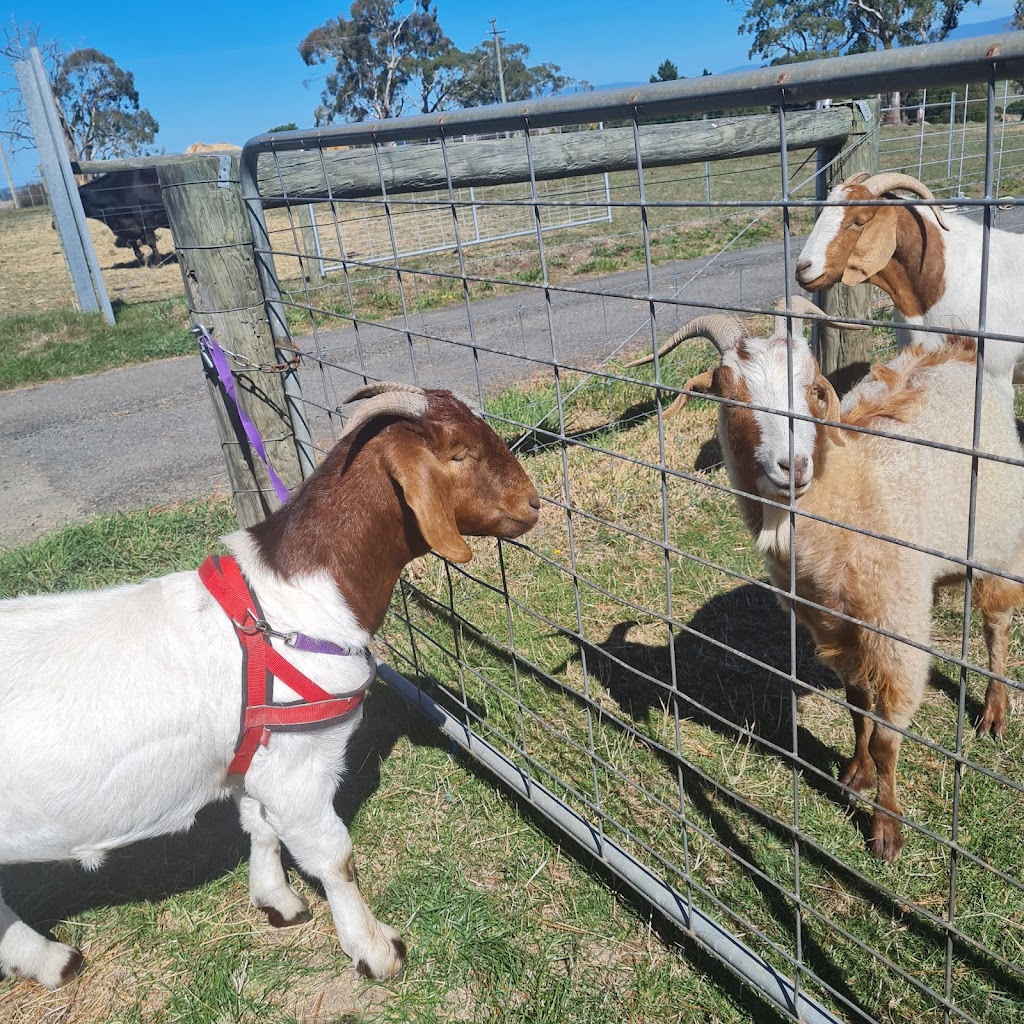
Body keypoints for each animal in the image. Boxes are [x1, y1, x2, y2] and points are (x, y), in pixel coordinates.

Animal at [0, 382, 540, 983]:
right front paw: (376, 950)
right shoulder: (298, 767)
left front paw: (275, 899)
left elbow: (259, 825)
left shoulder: (259, 757)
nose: (534, 503)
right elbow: (334, 856)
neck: (293, 604)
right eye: (459, 452)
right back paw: (48, 957)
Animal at [638, 303, 1024, 864]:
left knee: (997, 622)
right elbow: (858, 710)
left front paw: (886, 831)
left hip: (999, 538)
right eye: (728, 390)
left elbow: (887, 737)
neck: (847, 493)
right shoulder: (834, 625)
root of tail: (957, 348)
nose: (793, 466)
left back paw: (995, 711)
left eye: (811, 388)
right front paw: (855, 775)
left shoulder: (896, 632)